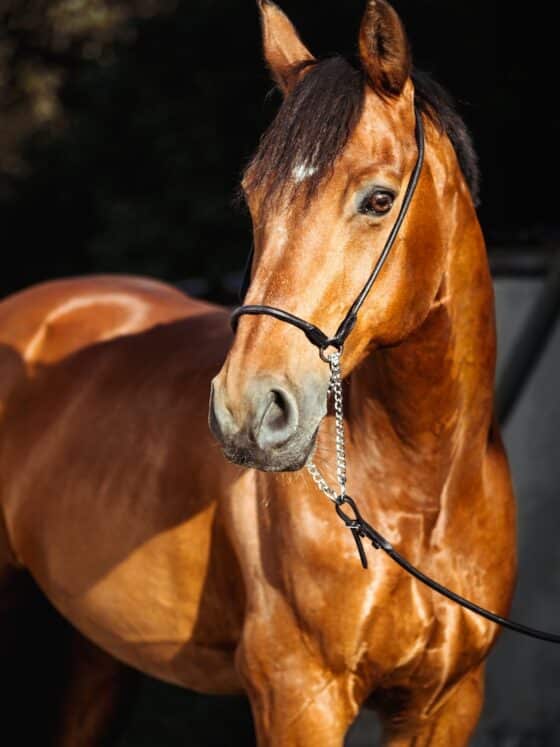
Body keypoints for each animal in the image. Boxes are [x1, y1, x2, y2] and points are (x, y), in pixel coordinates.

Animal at [0, 1, 516, 744]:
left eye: (378, 199)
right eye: (252, 198)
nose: (246, 412)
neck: (422, 494)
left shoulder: (447, 702)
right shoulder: (298, 696)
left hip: (97, 653)